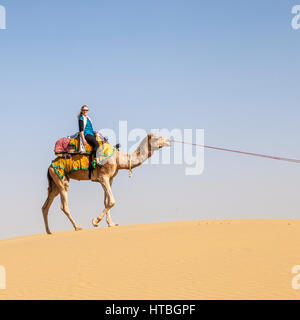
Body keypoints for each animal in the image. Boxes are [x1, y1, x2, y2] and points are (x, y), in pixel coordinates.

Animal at [41, 132, 171, 235]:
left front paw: (111, 223)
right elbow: (112, 201)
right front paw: (95, 221)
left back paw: (48, 232)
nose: (169, 141)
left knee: (45, 206)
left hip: (55, 181)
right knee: (64, 205)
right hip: (60, 177)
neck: (118, 159)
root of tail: (50, 165)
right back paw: (77, 227)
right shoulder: (103, 177)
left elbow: (106, 201)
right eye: (156, 138)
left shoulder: (109, 179)